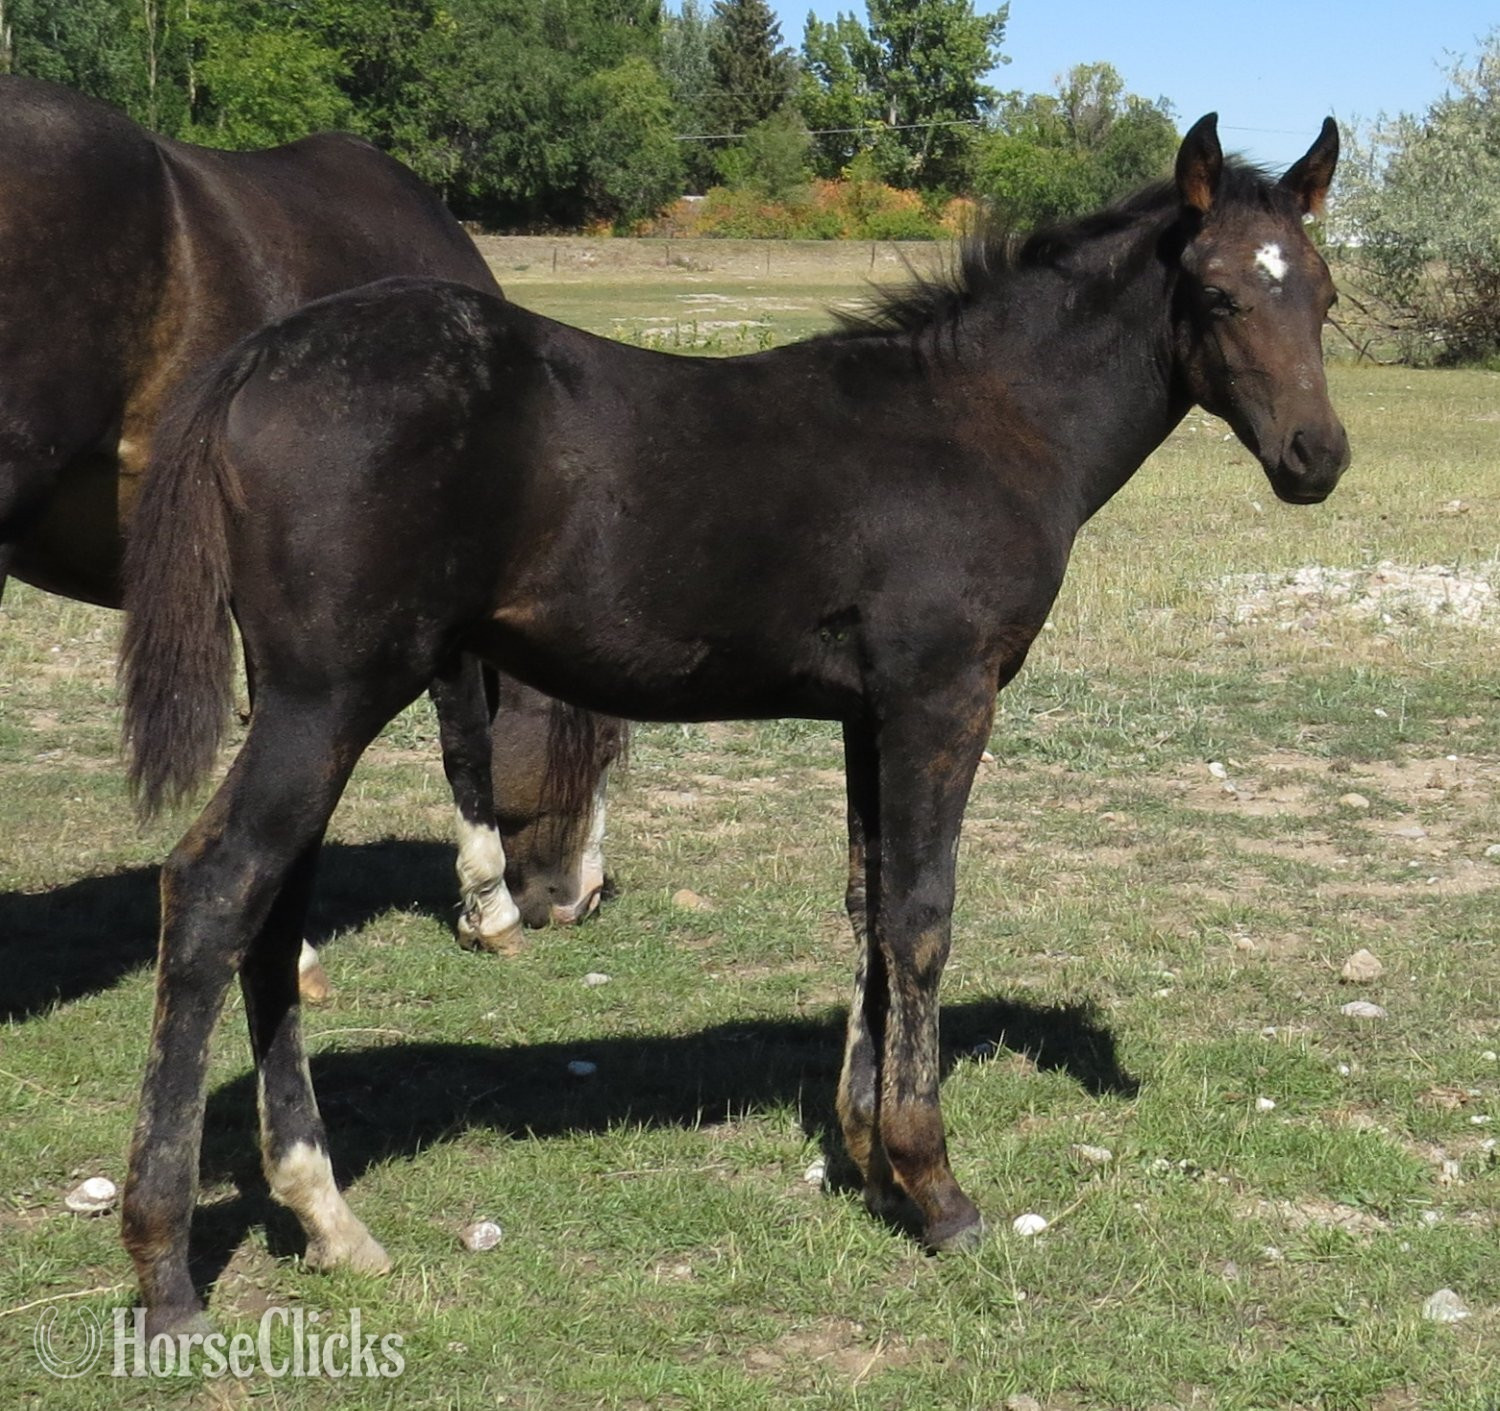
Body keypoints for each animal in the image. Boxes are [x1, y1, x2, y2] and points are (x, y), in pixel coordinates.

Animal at [117, 113, 1349, 1332]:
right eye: (1219, 293)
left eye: (1326, 293)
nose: (1318, 458)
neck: (987, 421)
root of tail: (256, 359)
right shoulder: (943, 695)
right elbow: (922, 917)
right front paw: (935, 1185)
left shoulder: (867, 710)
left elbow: (868, 903)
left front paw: (866, 1160)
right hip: (329, 693)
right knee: (218, 886)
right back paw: (167, 1268)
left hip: (311, 702)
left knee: (271, 908)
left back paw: (326, 1218)